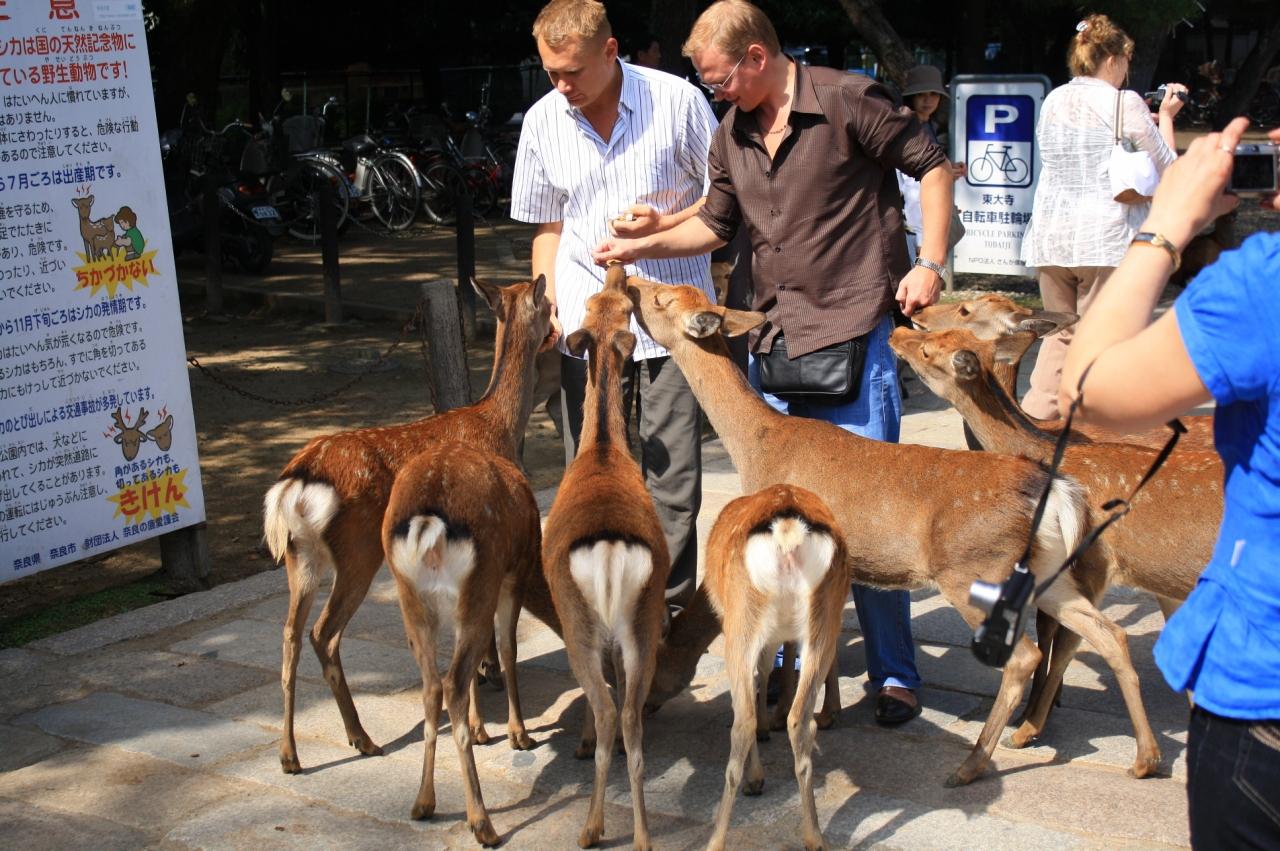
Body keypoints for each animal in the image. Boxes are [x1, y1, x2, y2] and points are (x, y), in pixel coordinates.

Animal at [262, 276, 556, 775]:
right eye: (550, 307)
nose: (559, 328)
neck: (499, 425)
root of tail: (296, 483)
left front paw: (486, 682)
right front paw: (491, 687)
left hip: (299, 557)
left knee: (288, 635)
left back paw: (291, 755)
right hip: (358, 551)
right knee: (323, 632)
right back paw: (362, 738)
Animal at [380, 441, 540, 847]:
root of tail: (428, 524)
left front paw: (483, 728)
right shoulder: (516, 572)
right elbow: (509, 648)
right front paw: (518, 734)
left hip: (413, 602)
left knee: (432, 684)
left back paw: (423, 802)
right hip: (481, 582)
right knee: (452, 681)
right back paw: (482, 822)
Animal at [623, 275, 1163, 784]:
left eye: (661, 300)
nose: (629, 281)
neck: (756, 447)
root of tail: (1053, 493)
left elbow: (785, 644)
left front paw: (771, 723)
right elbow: (821, 644)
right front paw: (826, 714)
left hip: (973, 571)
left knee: (1025, 655)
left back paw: (971, 764)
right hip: (1048, 570)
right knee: (1108, 633)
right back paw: (1144, 758)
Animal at [702, 484, 848, 851]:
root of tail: (787, 527)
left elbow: (761, 676)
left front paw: (757, 770)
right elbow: (773, 669)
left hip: (739, 622)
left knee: (742, 721)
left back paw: (716, 838)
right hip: (822, 621)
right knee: (801, 721)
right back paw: (814, 836)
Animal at [889, 325, 1221, 749]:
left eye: (929, 350)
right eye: (936, 332)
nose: (897, 330)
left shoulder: (1090, 565)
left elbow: (1065, 639)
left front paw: (1028, 727)